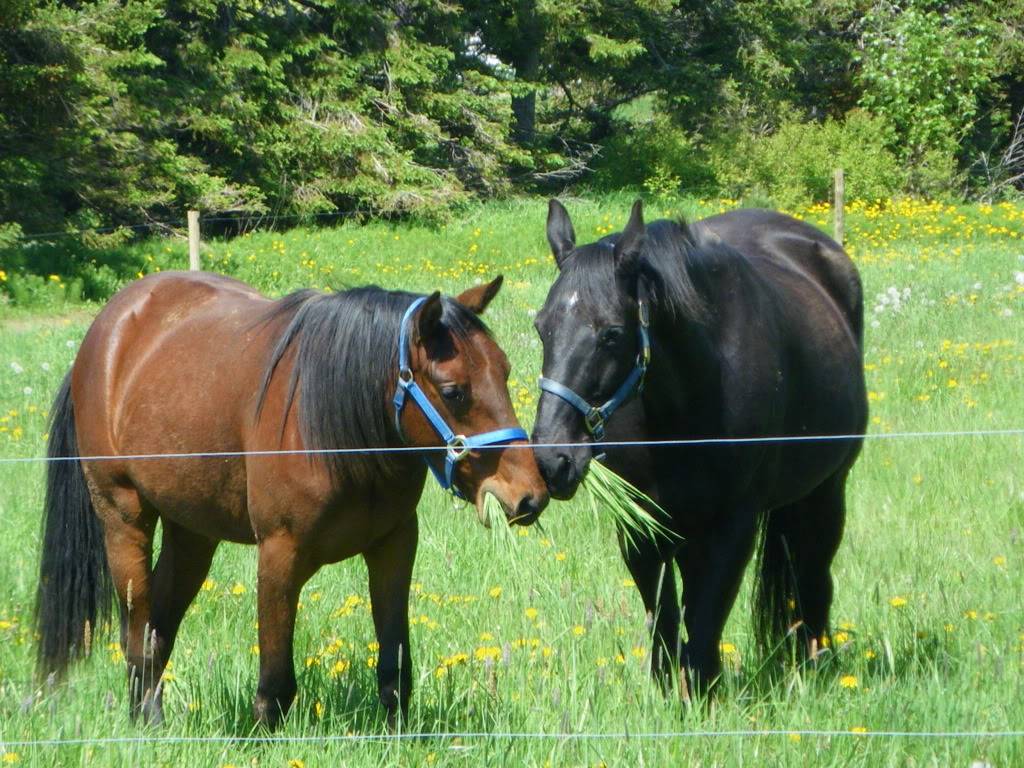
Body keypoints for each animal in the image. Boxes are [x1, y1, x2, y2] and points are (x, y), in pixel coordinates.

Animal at [34, 270, 544, 729]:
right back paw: (148, 723)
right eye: (454, 391)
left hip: (193, 534)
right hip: (124, 518)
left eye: (504, 371)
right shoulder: (280, 553)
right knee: (139, 630)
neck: (334, 427)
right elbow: (276, 683)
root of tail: (107, 329)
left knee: (157, 628)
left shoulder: (395, 546)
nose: (529, 496)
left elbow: (394, 668)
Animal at [532, 201, 868, 696]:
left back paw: (813, 661)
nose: (553, 458)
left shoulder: (731, 527)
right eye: (542, 327)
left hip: (827, 490)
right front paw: (669, 693)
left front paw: (702, 694)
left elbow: (706, 620)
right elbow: (666, 620)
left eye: (611, 333)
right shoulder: (641, 527)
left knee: (813, 576)